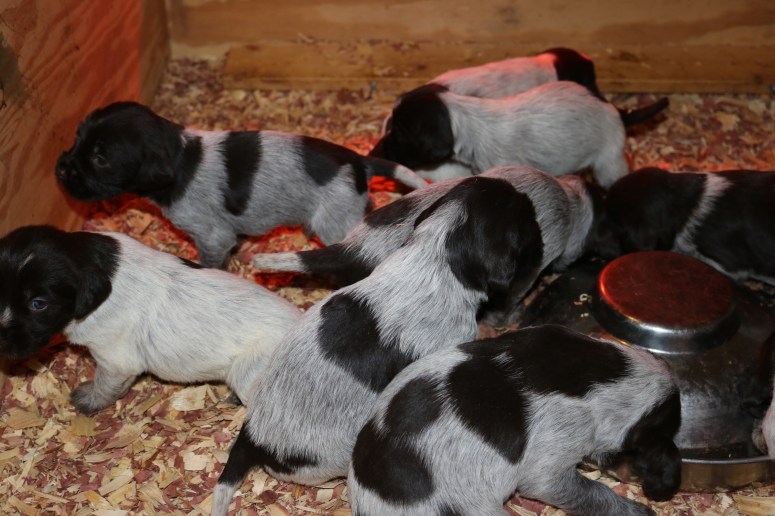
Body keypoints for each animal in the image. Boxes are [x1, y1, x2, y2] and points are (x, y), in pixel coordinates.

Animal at [55, 102, 428, 269]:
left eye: (100, 158)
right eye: (77, 137)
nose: (60, 169)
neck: (180, 158)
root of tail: (359, 161)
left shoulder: (211, 236)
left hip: (337, 224)